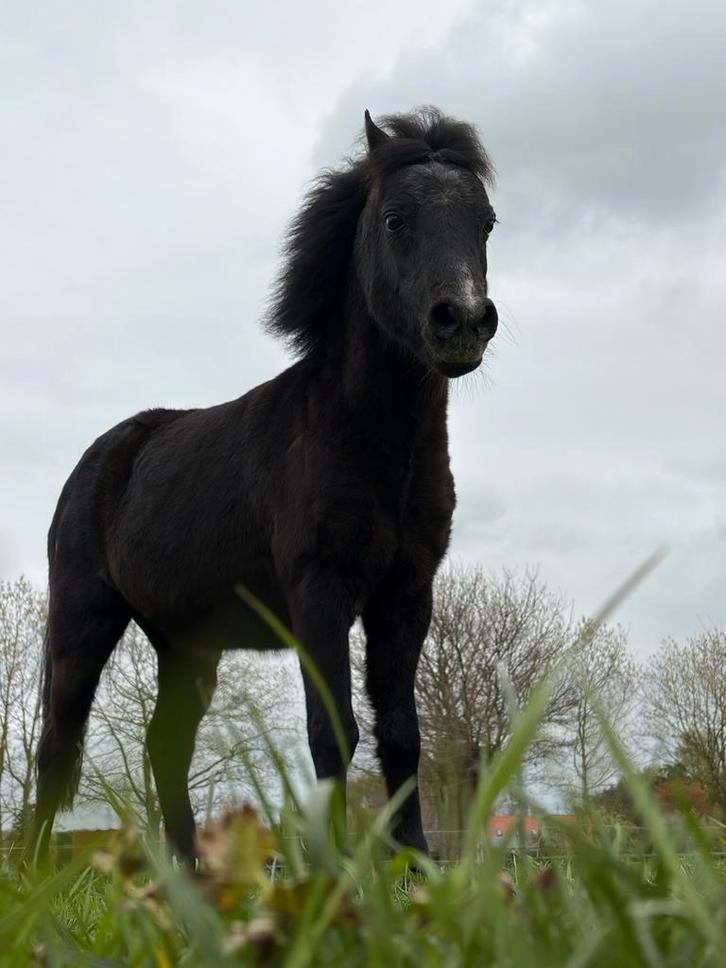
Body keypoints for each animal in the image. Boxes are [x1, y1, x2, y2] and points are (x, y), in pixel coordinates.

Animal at [33, 107, 499, 862]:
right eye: (395, 219)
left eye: (485, 222)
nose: (461, 321)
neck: (366, 442)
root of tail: (101, 459)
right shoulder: (319, 591)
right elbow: (333, 732)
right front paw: (339, 870)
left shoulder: (406, 594)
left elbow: (401, 733)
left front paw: (414, 863)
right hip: (82, 623)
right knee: (56, 748)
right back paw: (36, 870)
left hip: (186, 647)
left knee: (164, 748)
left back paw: (190, 875)